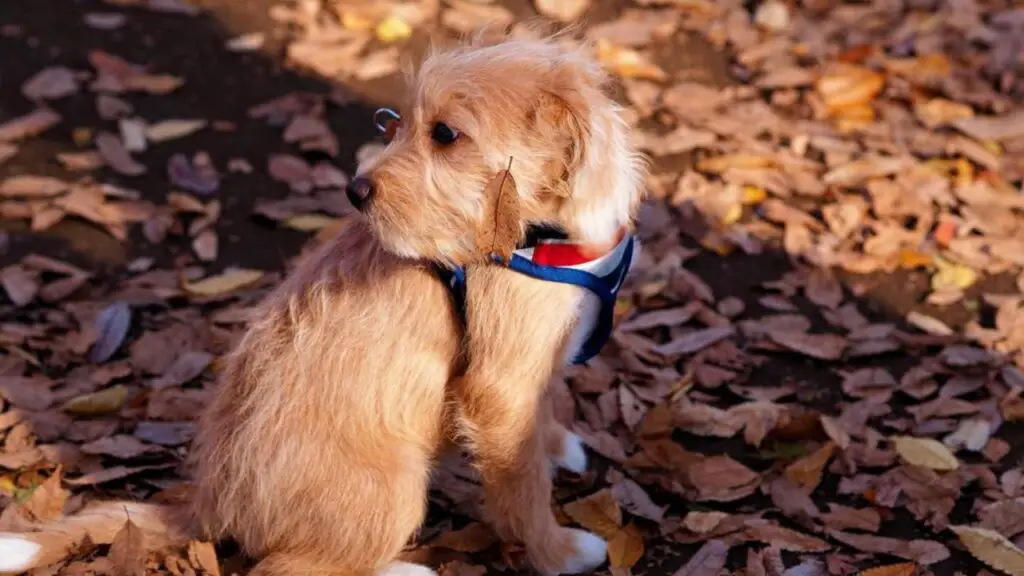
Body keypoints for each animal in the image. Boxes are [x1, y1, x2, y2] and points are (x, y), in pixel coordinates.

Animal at [0, 30, 643, 573]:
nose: (354, 191)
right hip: (394, 485)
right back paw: (403, 567)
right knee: (288, 568)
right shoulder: (500, 388)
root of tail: (210, 503)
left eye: (444, 134)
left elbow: (543, 416)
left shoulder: (537, 363)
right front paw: (557, 552)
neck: (538, 235)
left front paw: (557, 444)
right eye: (396, 123)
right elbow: (521, 486)